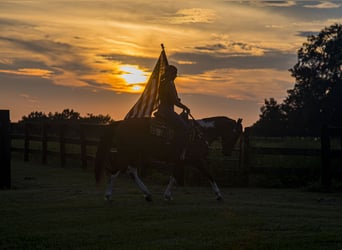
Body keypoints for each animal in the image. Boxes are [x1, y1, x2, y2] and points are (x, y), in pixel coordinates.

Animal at [95, 114, 242, 202]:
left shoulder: (181, 161)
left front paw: (167, 195)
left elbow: (173, 177)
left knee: (130, 171)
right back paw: (108, 195)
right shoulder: (196, 160)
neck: (201, 133)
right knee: (116, 171)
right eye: (236, 135)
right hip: (127, 152)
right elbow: (209, 174)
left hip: (133, 153)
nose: (227, 153)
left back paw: (147, 194)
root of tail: (120, 123)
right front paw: (218, 195)